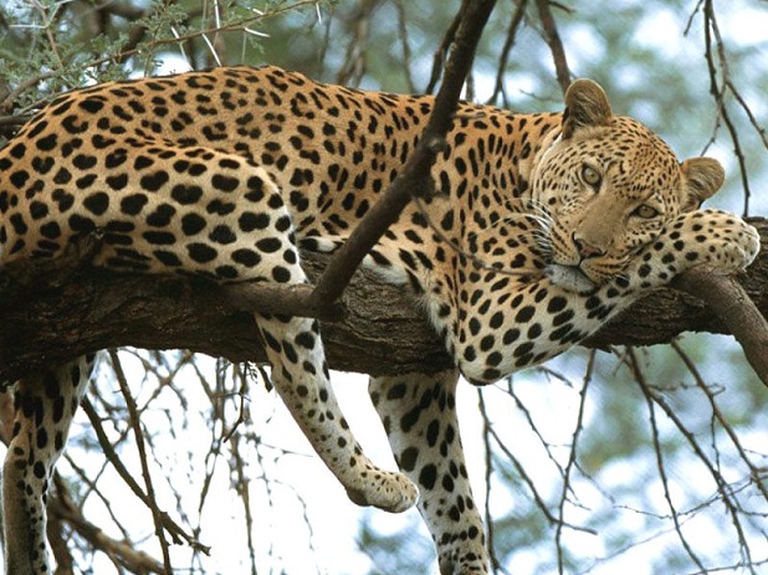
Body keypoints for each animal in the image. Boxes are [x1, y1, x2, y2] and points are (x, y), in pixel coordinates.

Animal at [0, 64, 760, 575]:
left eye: (642, 208)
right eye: (593, 179)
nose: (586, 247)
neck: (523, 159)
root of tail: (16, 150)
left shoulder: (415, 375)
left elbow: (455, 497)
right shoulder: (489, 319)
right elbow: (648, 262)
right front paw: (727, 233)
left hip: (69, 329)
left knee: (23, 453)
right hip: (243, 189)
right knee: (295, 370)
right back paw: (371, 480)